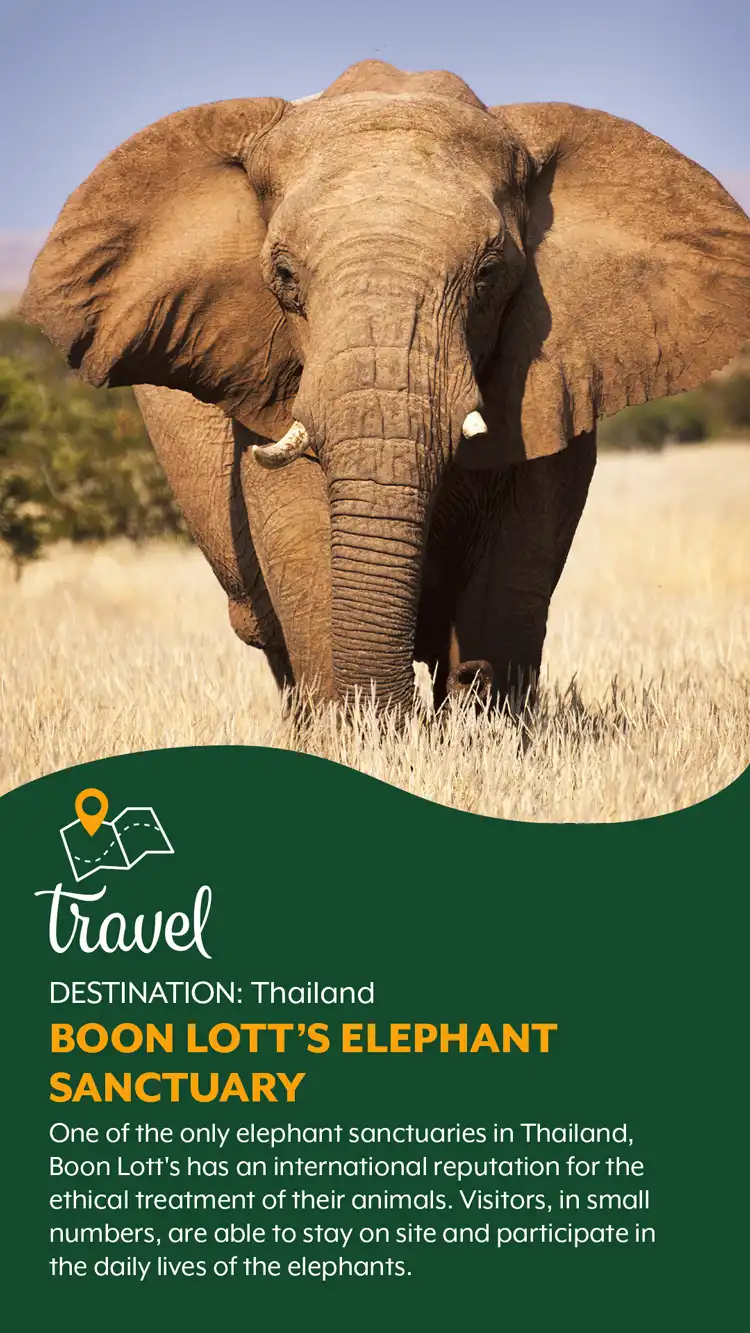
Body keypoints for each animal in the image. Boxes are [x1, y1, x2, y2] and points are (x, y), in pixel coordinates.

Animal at [20, 60, 750, 712]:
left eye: (489, 274)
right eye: (283, 277)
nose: (409, 704)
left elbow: (513, 561)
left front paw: (479, 724)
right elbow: (301, 537)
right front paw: (363, 738)